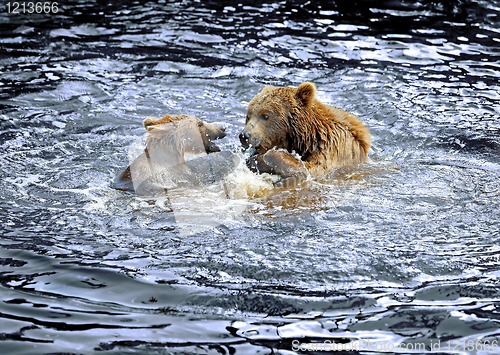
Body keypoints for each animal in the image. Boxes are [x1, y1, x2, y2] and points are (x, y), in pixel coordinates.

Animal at [238, 82, 372, 185]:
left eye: (265, 115)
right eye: (249, 115)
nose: (244, 136)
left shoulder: (332, 149)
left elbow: (313, 169)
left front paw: (263, 158)